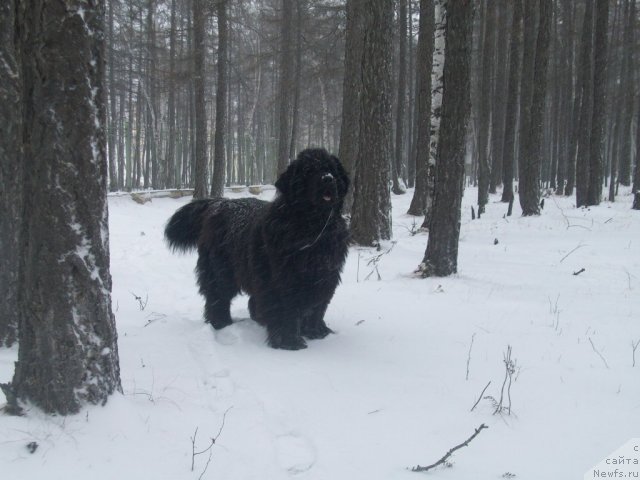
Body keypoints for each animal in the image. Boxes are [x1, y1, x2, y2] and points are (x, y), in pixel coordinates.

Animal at [162, 148, 348, 350]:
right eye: (309, 171)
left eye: (332, 170)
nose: (328, 179)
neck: (312, 230)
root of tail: (218, 203)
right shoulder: (282, 280)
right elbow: (285, 310)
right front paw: (288, 341)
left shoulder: (325, 277)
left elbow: (318, 307)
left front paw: (317, 332)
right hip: (221, 270)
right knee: (218, 297)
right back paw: (221, 323)